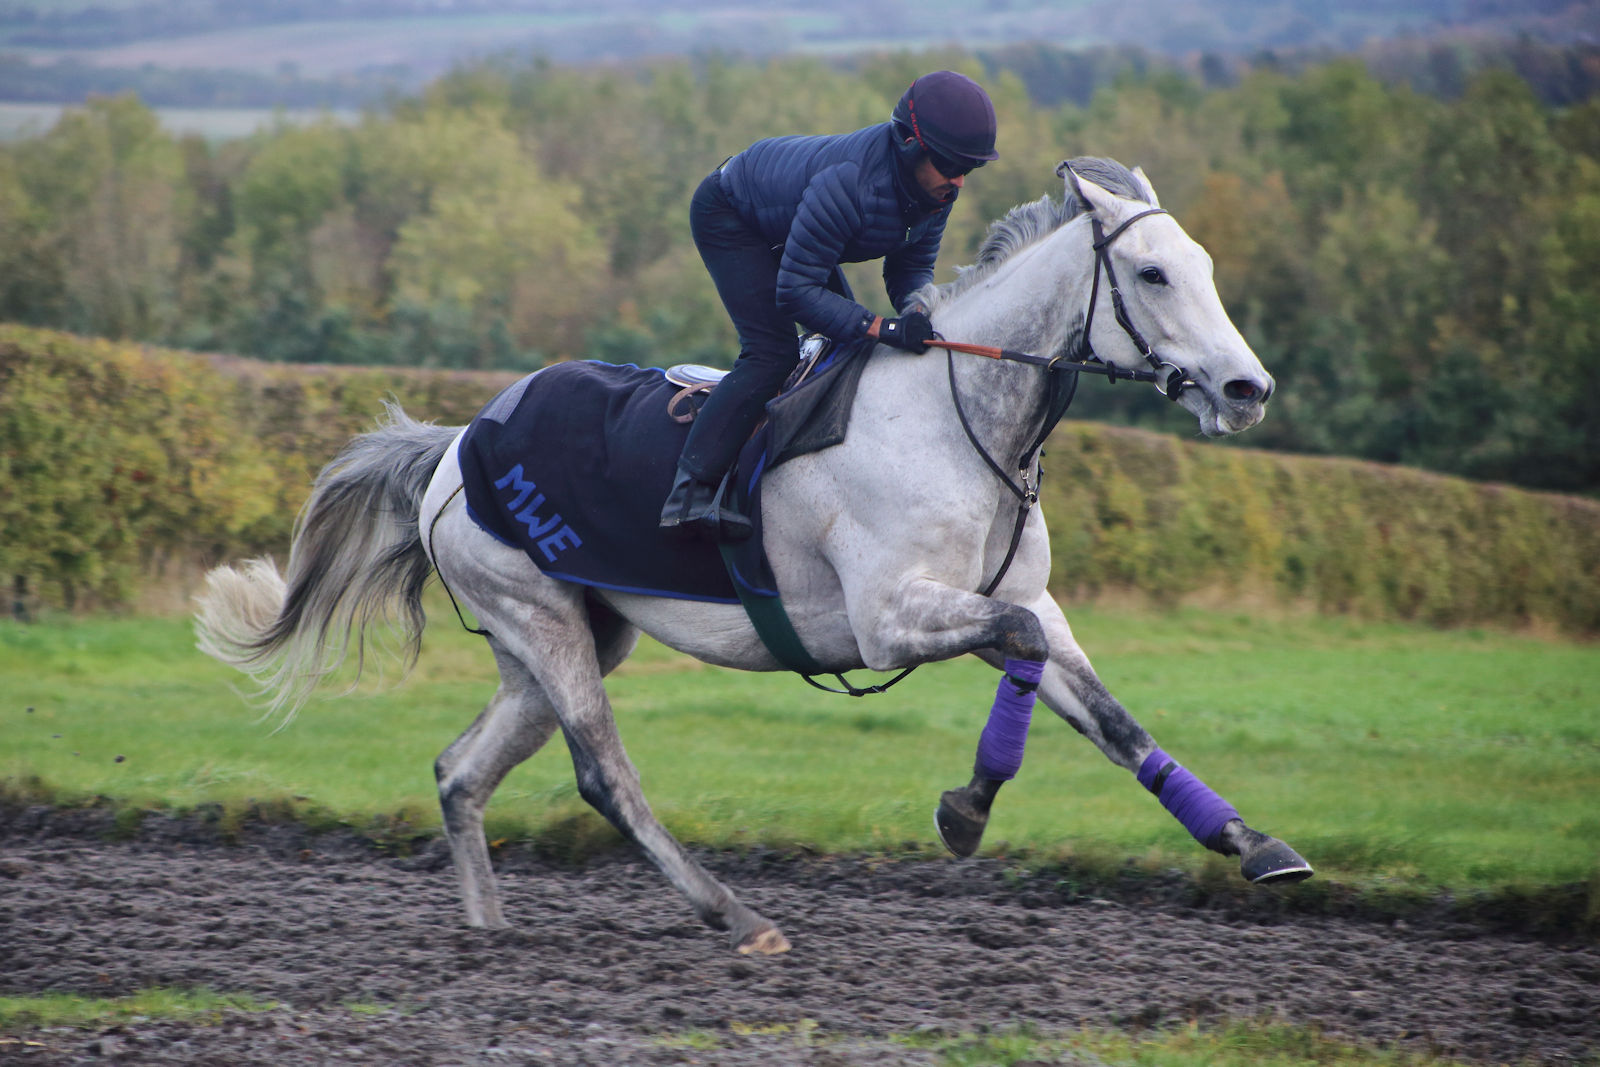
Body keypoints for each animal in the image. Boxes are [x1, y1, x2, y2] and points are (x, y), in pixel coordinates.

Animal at [196, 158, 1312, 957]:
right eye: (1153, 273)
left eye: (1207, 268)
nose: (1248, 388)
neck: (957, 417)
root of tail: (454, 445)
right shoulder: (890, 614)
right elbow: (1023, 647)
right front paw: (962, 811)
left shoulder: (1018, 601)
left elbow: (1111, 715)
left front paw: (1256, 843)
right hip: (540, 619)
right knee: (603, 773)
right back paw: (731, 913)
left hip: (563, 634)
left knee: (461, 771)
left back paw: (486, 932)